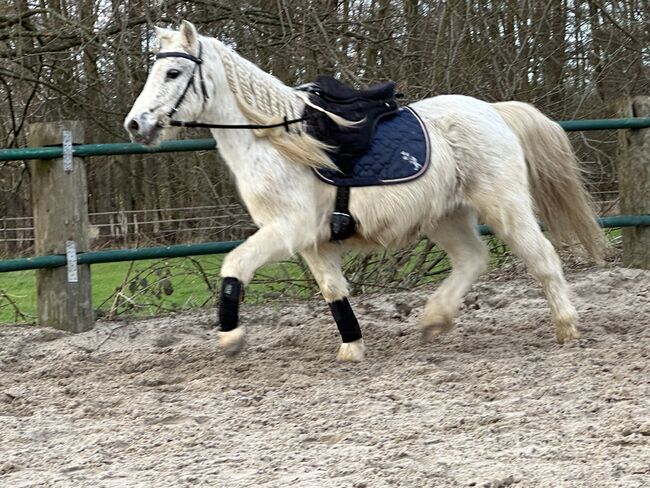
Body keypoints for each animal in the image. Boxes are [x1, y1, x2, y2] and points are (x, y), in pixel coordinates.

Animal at [126, 21, 604, 360]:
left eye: (173, 71)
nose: (135, 124)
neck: (278, 142)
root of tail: (493, 111)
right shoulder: (315, 243)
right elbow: (334, 292)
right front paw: (351, 348)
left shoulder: (289, 230)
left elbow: (235, 264)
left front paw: (231, 338)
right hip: (445, 216)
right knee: (473, 259)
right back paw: (434, 320)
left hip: (504, 206)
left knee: (542, 257)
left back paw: (567, 328)